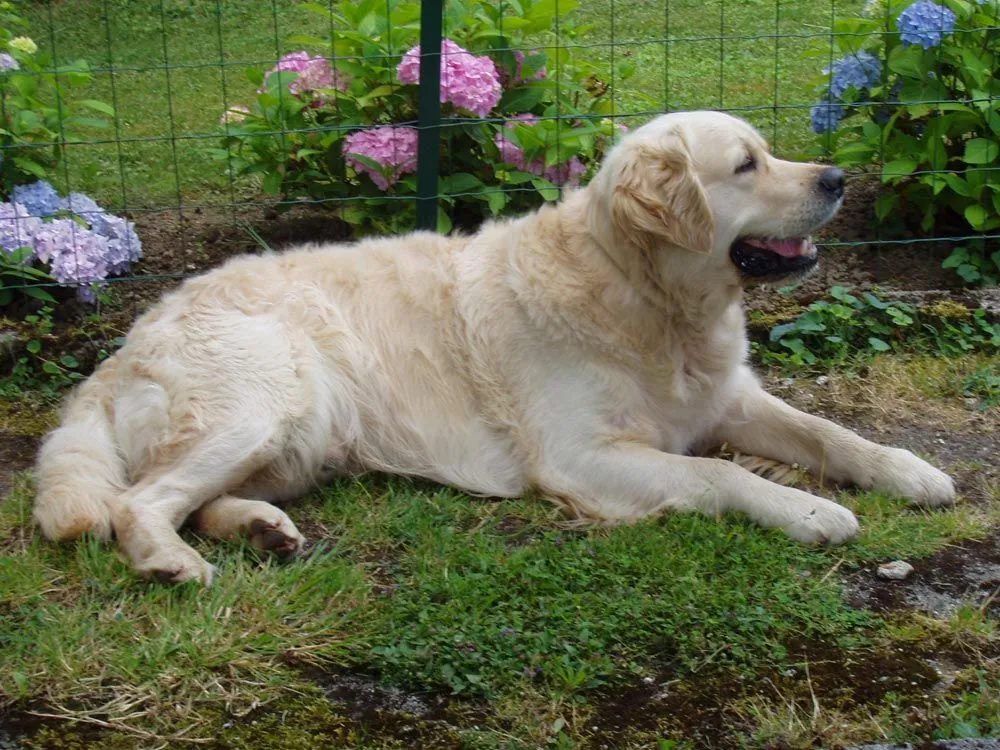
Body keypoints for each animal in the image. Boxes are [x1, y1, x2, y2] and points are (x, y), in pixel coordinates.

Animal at [31, 110, 952, 588]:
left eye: (771, 151)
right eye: (747, 165)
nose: (836, 178)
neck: (647, 298)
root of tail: (125, 343)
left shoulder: (728, 398)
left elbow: (832, 434)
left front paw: (910, 471)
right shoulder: (582, 456)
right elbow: (719, 476)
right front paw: (808, 510)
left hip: (301, 433)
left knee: (187, 495)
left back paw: (260, 529)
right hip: (267, 399)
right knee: (136, 502)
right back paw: (171, 561)